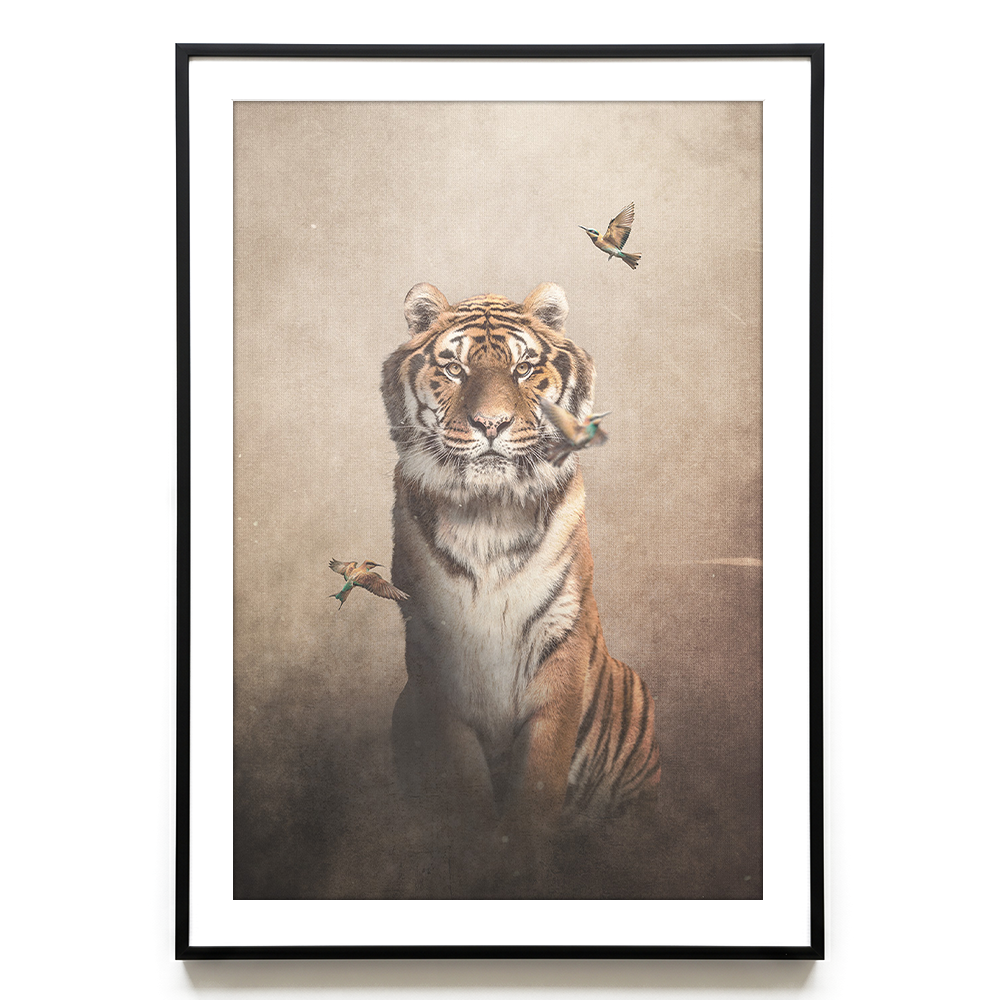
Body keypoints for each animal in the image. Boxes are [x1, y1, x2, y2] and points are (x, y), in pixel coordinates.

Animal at [381, 282, 660, 886]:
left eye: (524, 368)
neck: (488, 515)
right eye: (455, 369)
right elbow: (463, 784)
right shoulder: (434, 652)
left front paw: (523, 868)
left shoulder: (561, 642)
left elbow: (536, 785)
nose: (491, 425)